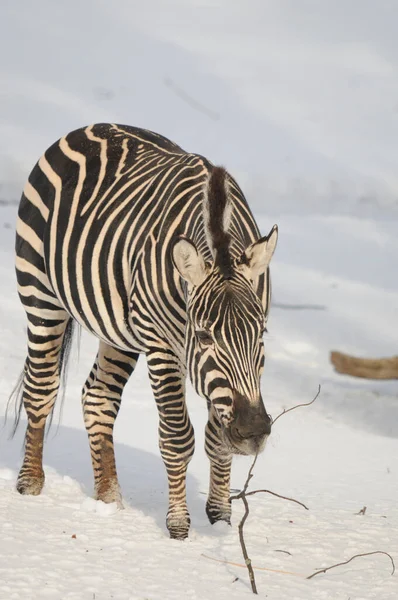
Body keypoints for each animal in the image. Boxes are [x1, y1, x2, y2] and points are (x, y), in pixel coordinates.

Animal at [13, 122, 280, 540]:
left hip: (118, 331)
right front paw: (179, 528)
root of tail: (89, 127)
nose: (254, 431)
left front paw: (221, 520)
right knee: (40, 387)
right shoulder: (162, 345)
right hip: (40, 293)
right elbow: (177, 437)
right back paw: (30, 485)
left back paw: (109, 501)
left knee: (98, 398)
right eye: (204, 336)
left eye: (262, 334)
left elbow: (216, 438)